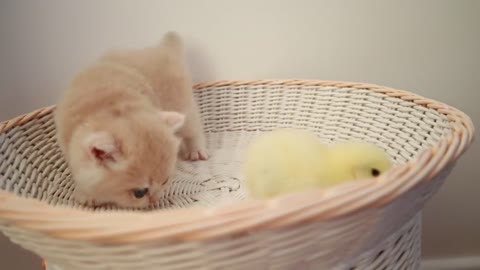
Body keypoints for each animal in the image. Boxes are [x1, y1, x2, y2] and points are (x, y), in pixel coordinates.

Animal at [54, 31, 208, 209]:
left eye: (165, 181)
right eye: (139, 193)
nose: (155, 200)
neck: (108, 106)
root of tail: (162, 48)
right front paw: (86, 194)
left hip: (182, 104)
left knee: (193, 129)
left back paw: (196, 150)